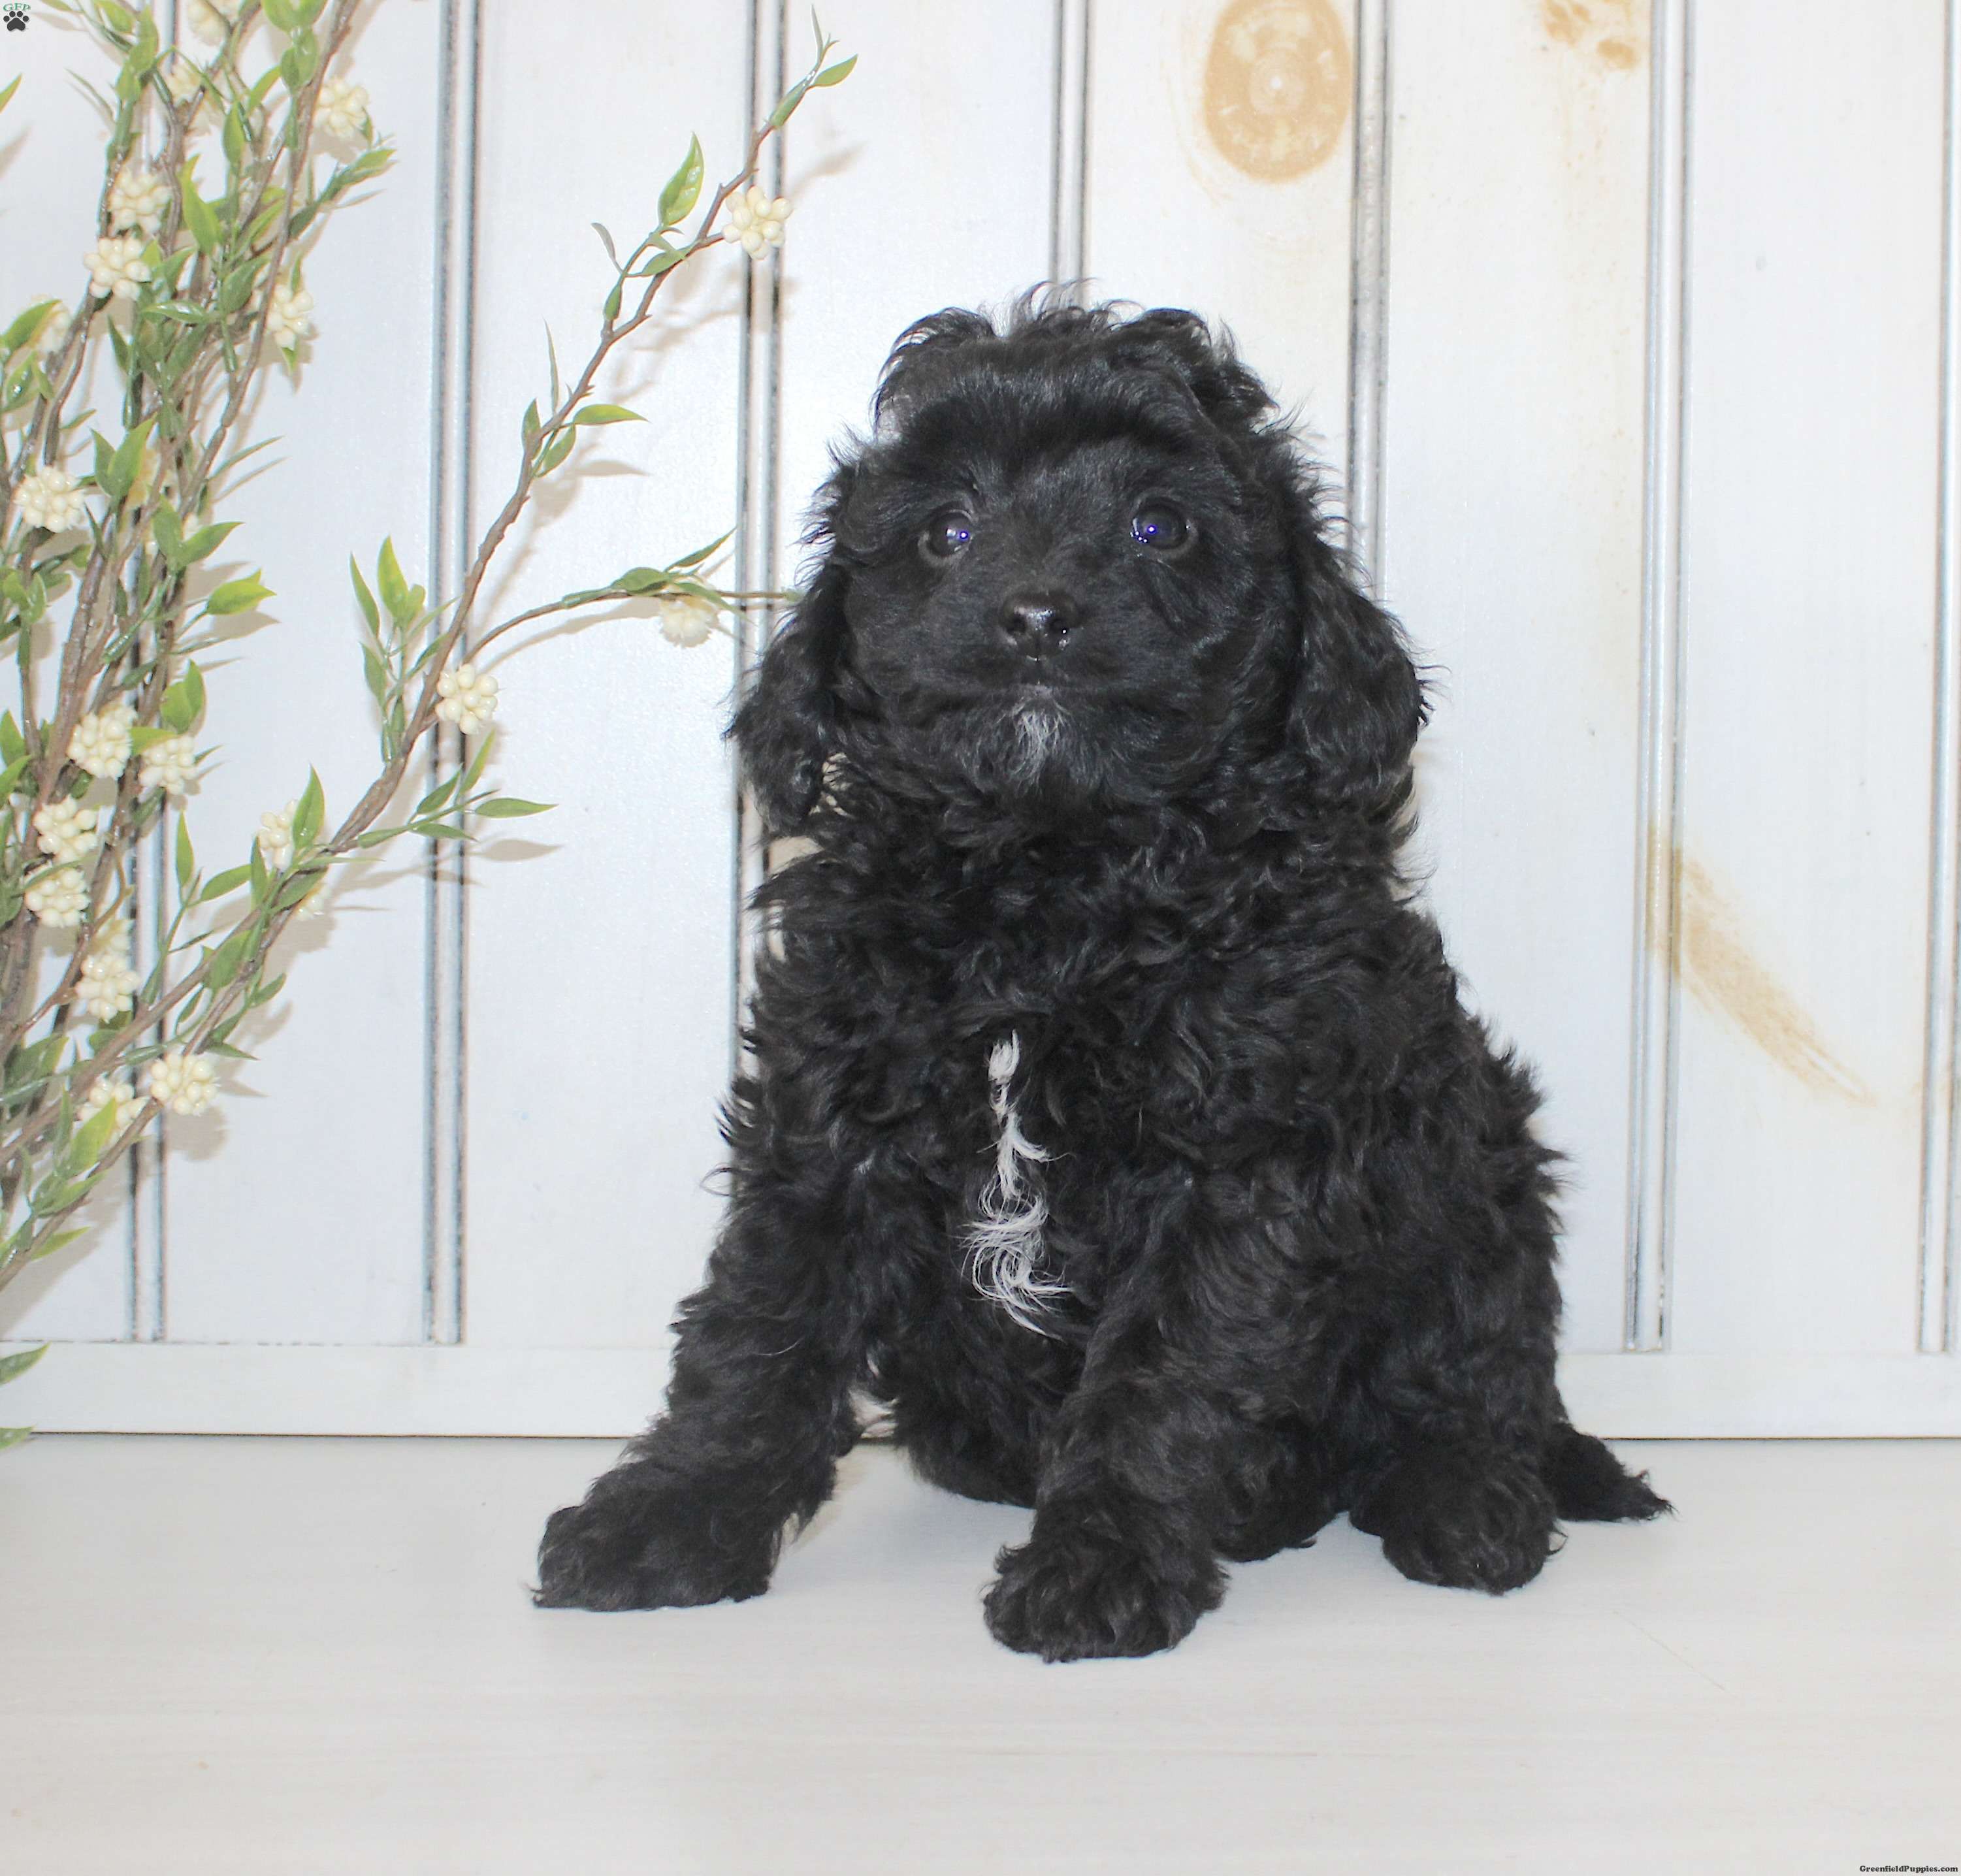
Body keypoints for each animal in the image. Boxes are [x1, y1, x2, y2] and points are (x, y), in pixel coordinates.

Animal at [534, 298, 1668, 1660]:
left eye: (1158, 527)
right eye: (946, 531)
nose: (1033, 615)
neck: (1052, 884)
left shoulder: (1235, 1153)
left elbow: (1163, 1372)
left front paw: (1102, 1561)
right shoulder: (832, 1116)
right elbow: (759, 1324)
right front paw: (669, 1513)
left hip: (1479, 1162)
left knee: (1479, 1371)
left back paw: (1465, 1499)